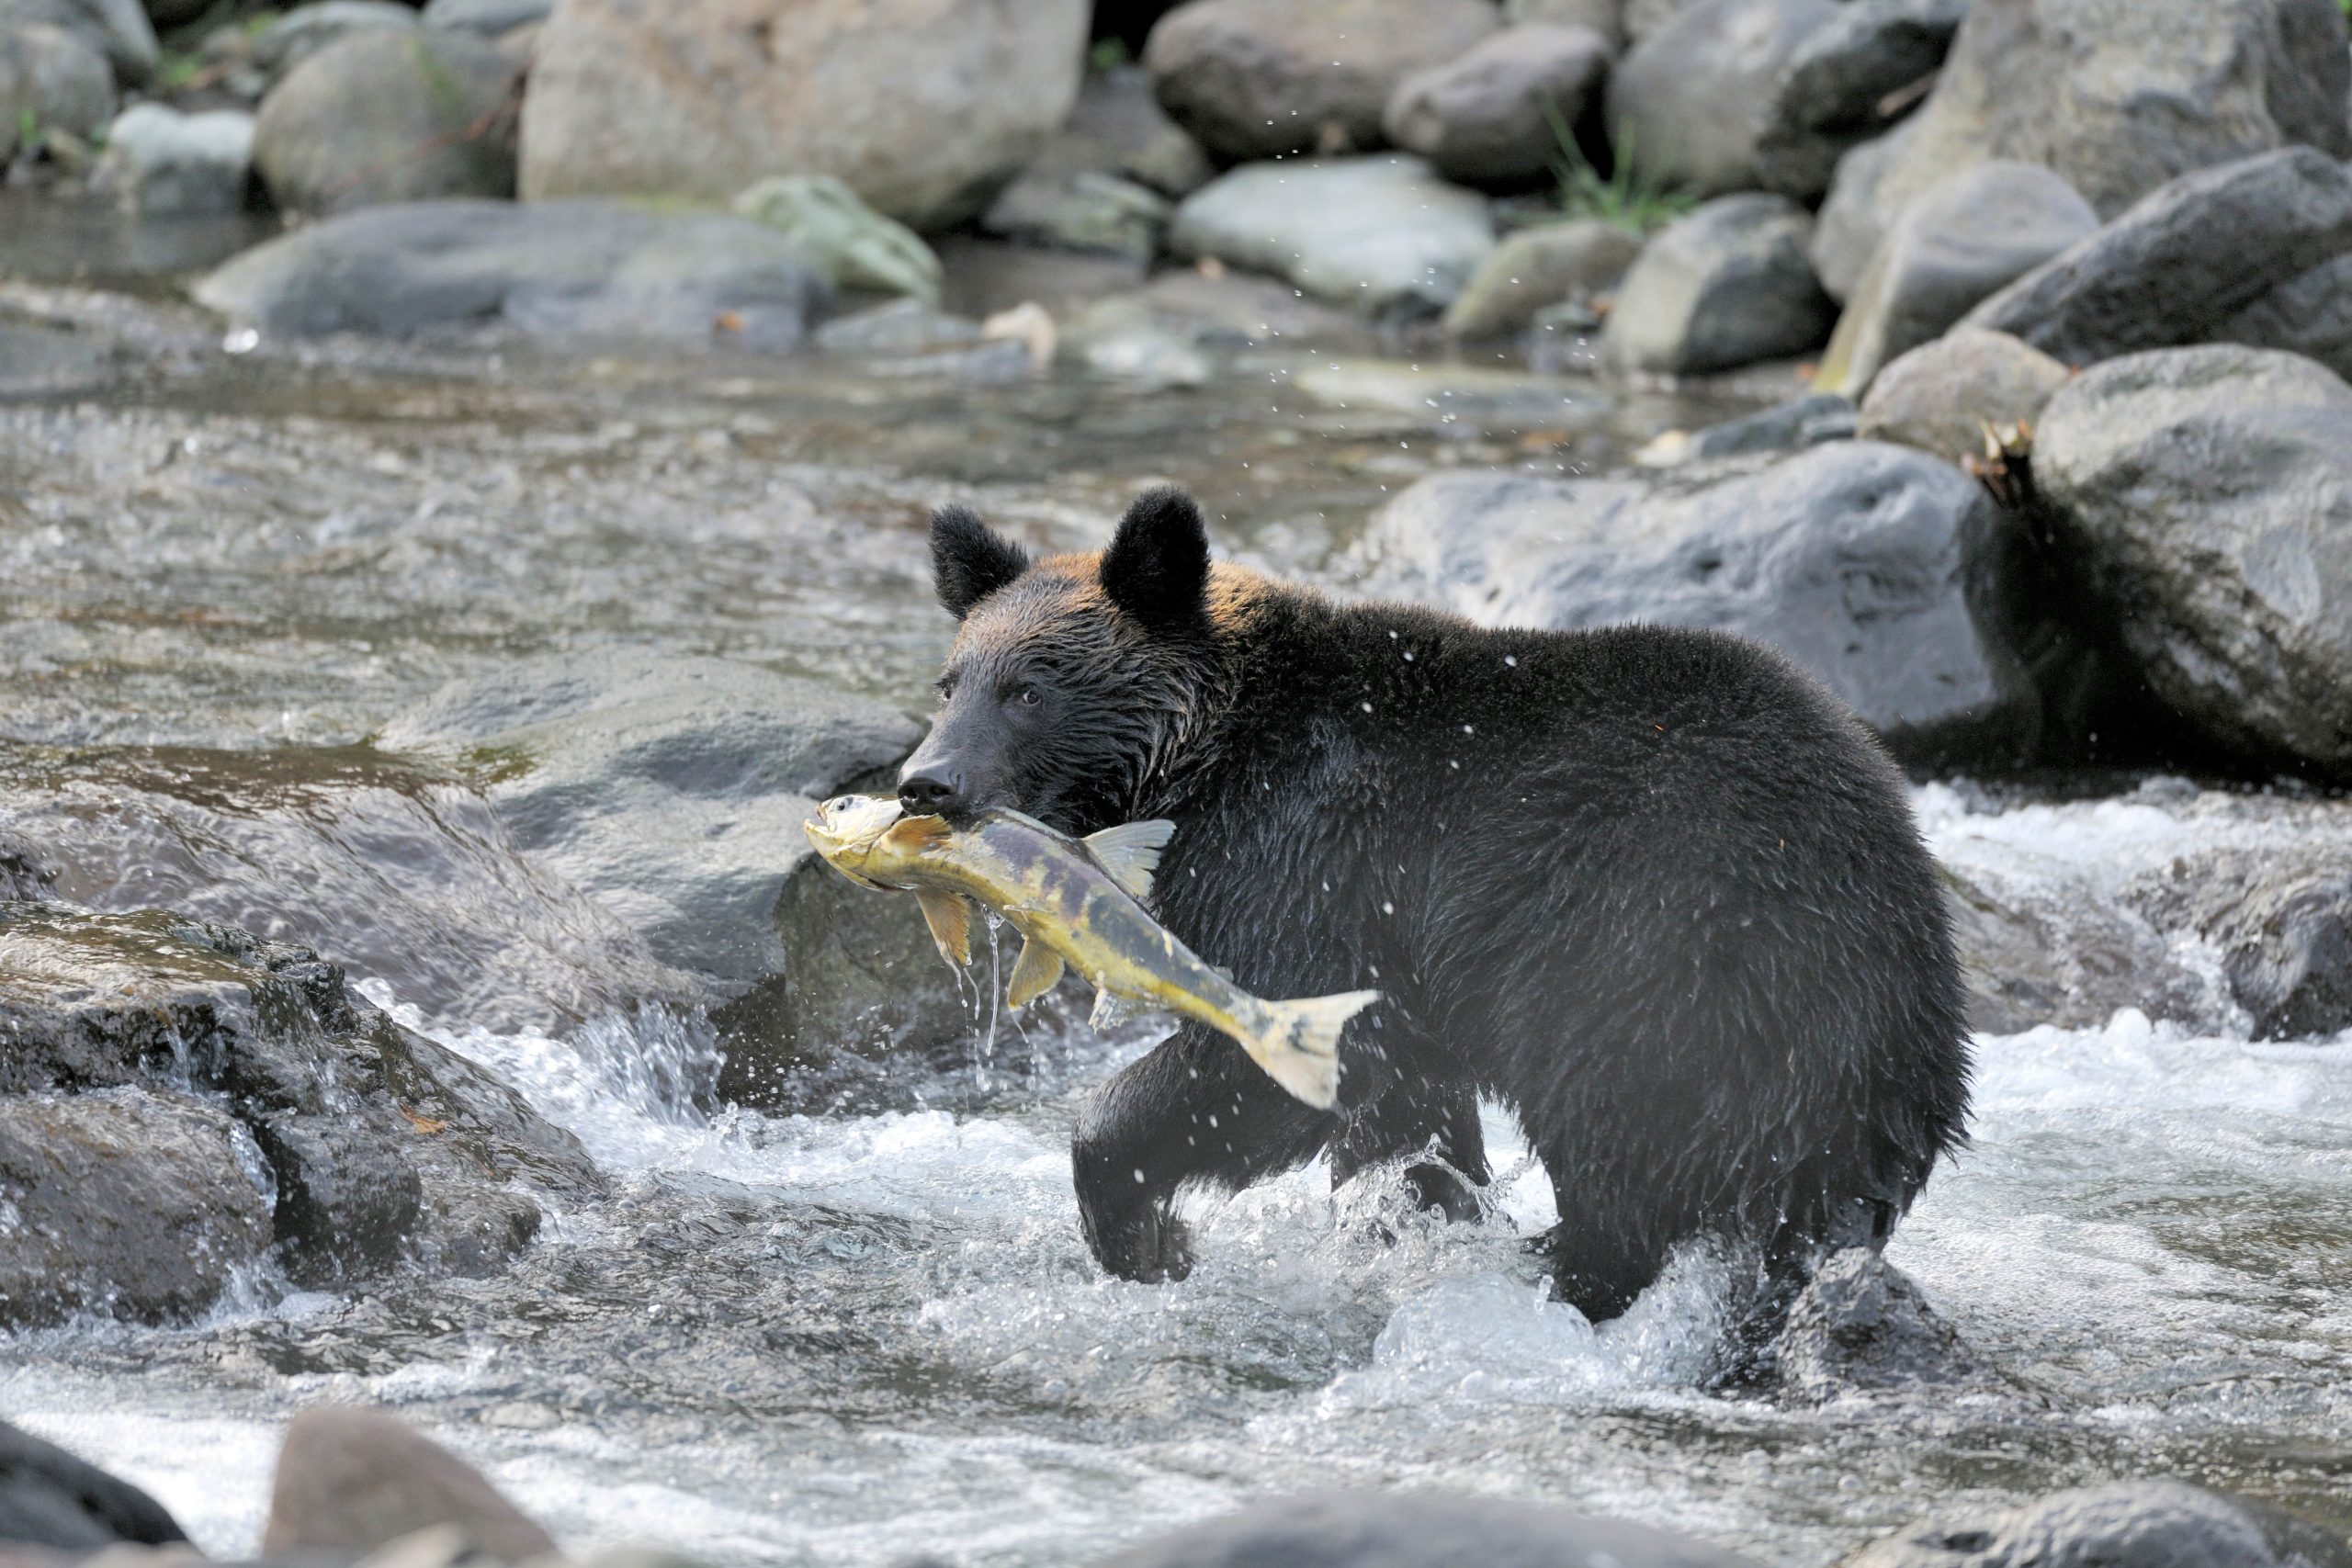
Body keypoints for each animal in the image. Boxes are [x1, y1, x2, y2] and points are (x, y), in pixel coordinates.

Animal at [898, 486, 1971, 1330]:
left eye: (1028, 688)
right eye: (951, 679)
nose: (926, 782)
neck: (1207, 763)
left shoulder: (1310, 859)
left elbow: (1269, 1057)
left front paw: (1147, 1237)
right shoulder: (1400, 959)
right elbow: (1402, 1103)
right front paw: (1413, 1212)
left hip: (1654, 950)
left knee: (1623, 1136)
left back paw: (1567, 1265)